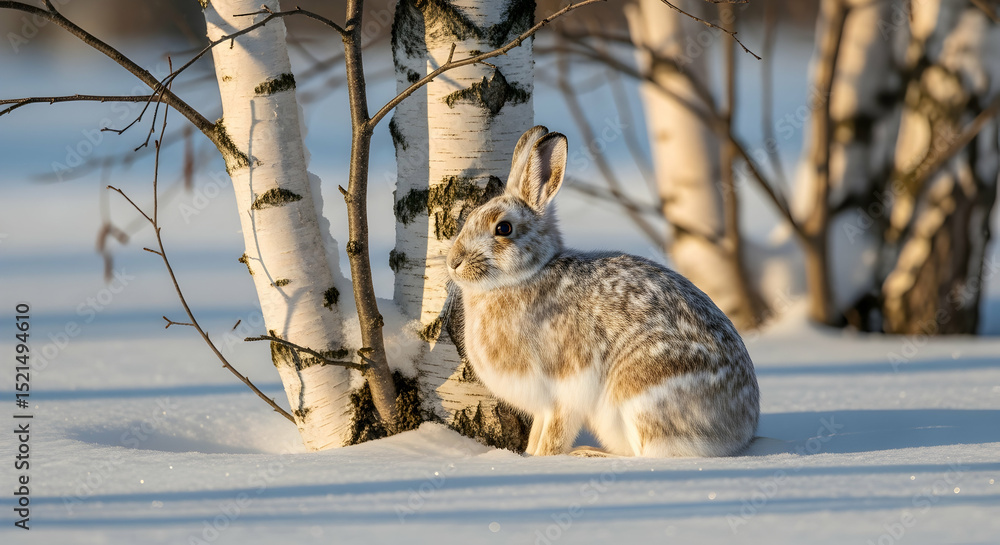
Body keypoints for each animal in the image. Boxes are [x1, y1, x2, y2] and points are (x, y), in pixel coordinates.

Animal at [445, 125, 760, 457]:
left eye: (503, 229)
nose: (453, 262)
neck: (526, 274)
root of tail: (741, 431)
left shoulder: (565, 392)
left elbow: (554, 436)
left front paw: (544, 458)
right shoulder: (544, 406)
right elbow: (538, 433)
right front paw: (529, 455)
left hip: (641, 393)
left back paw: (587, 454)